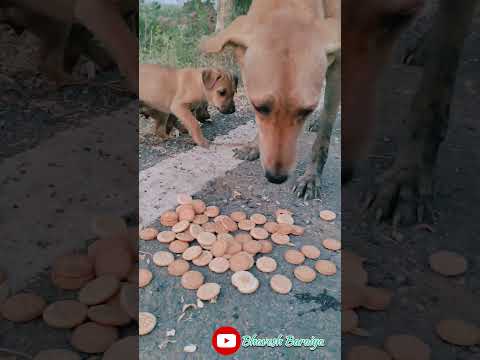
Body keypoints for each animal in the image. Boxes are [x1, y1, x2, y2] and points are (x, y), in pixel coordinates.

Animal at [199, 0, 342, 200]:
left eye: (306, 110)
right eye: (259, 107)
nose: (276, 178)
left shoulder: (337, 69)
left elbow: (324, 134)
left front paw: (312, 176)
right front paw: (254, 145)